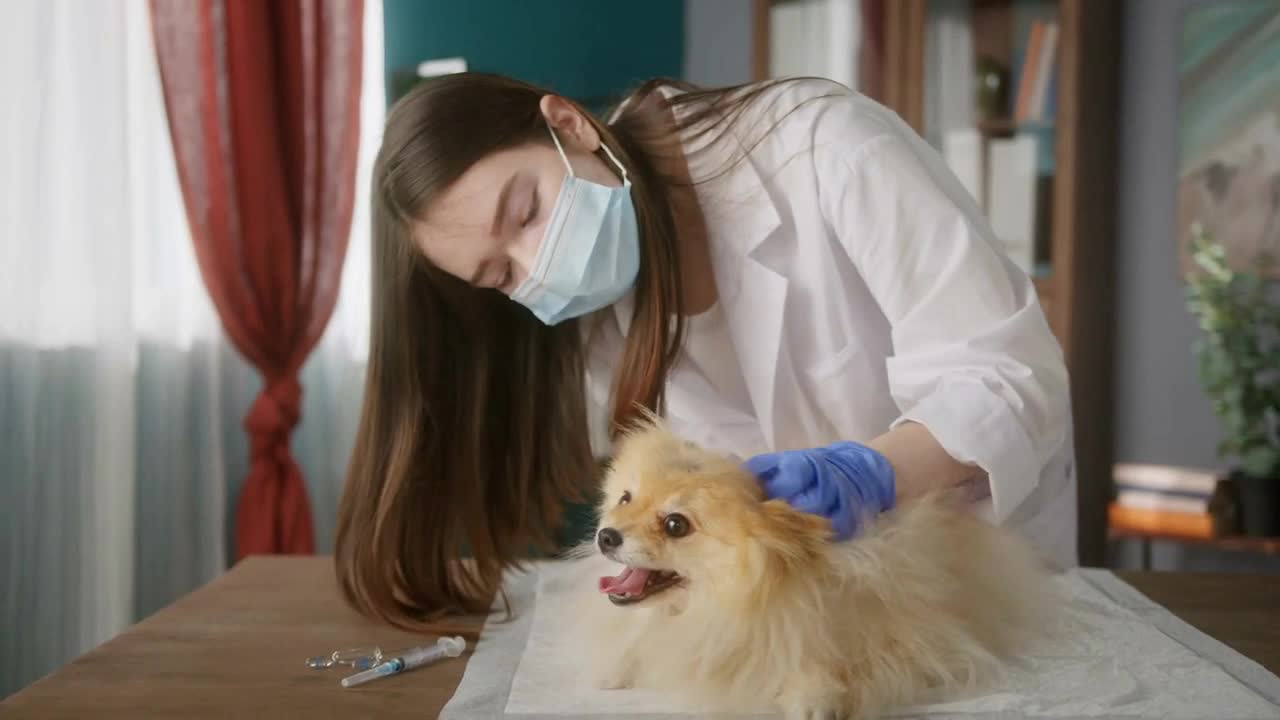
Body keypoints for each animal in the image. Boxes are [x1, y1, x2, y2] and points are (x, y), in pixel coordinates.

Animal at [560, 417, 1059, 712]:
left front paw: (815, 699)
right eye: (626, 498)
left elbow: (820, 670)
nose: (606, 535)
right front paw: (616, 668)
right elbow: (632, 641)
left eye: (675, 524)